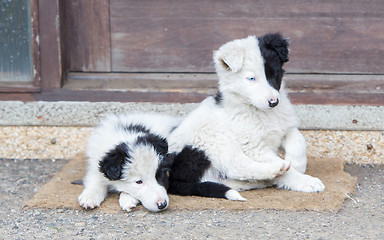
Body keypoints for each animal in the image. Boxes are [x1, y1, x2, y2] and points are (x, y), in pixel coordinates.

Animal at [167, 32, 324, 200]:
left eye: (274, 74)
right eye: (251, 79)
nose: (274, 102)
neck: (259, 111)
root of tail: (173, 176)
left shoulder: (284, 127)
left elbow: (299, 140)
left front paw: (297, 163)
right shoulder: (254, 147)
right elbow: (286, 169)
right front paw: (304, 181)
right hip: (214, 138)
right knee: (236, 165)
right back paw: (276, 169)